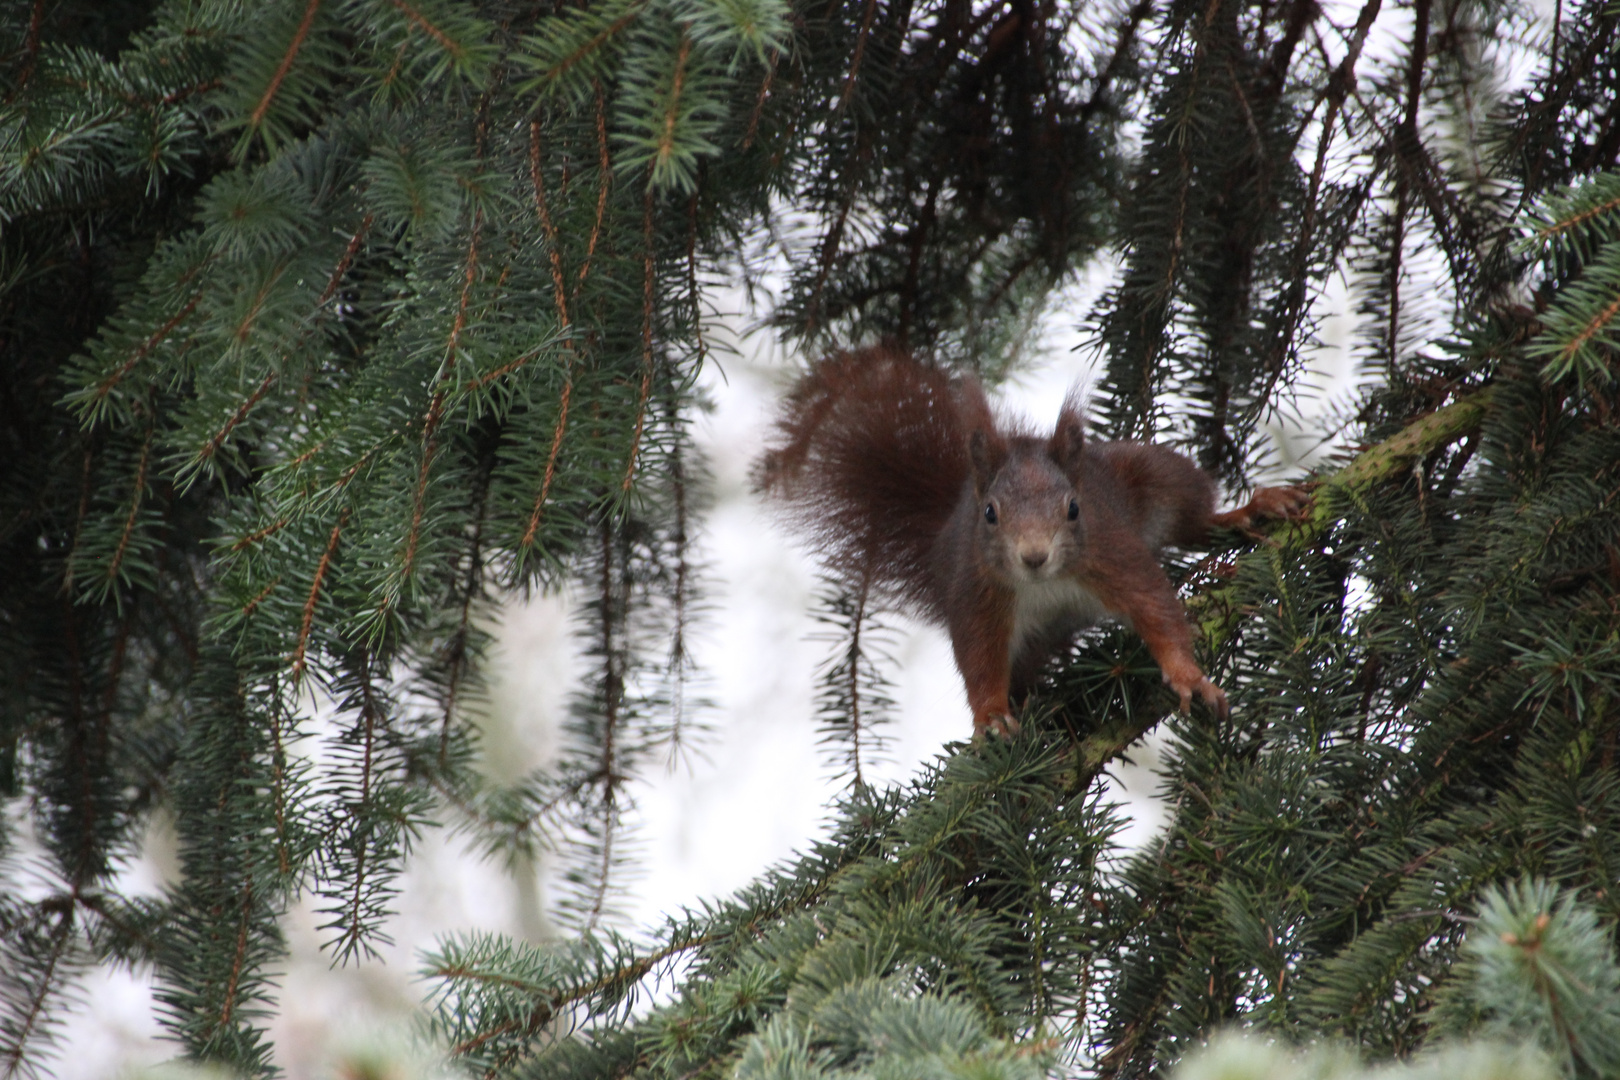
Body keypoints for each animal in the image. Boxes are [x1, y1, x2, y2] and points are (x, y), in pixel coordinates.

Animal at [751, 351, 1308, 738]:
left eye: (1075, 509)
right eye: (990, 514)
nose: (1034, 556)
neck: (1048, 584)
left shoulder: (1111, 554)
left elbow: (1157, 609)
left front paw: (1188, 677)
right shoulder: (979, 591)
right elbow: (978, 657)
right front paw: (993, 717)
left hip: (1155, 475)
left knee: (1196, 521)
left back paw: (1249, 512)